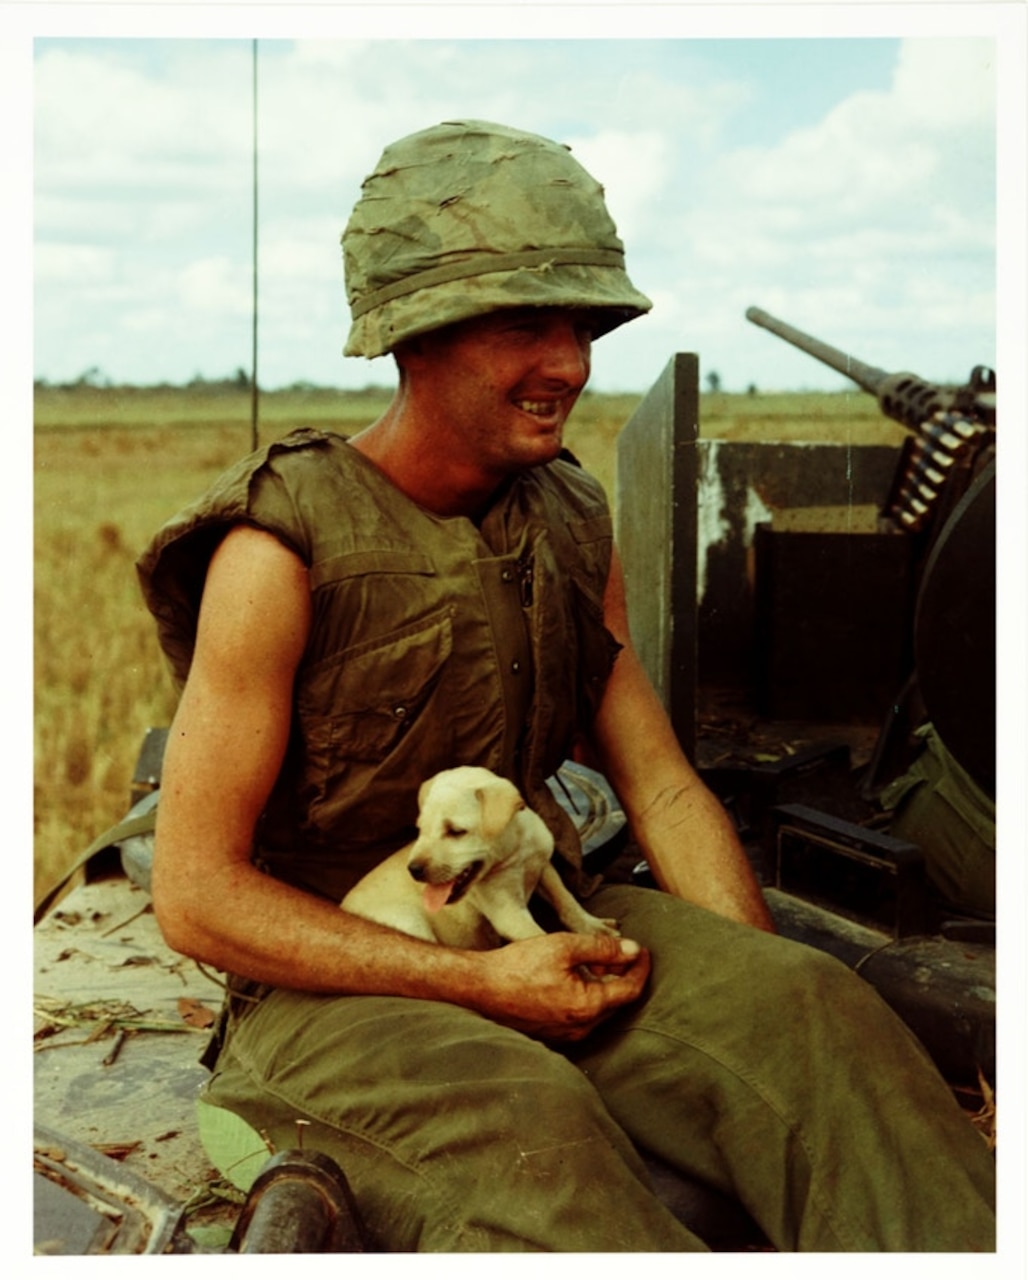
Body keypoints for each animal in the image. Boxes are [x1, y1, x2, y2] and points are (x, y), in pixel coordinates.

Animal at [343, 757, 619, 952]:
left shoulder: (544, 868)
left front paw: (594, 928)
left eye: (455, 831)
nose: (414, 870)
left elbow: (567, 902)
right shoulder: (508, 913)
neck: (515, 852)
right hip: (409, 921)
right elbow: (543, 938)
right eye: (421, 830)